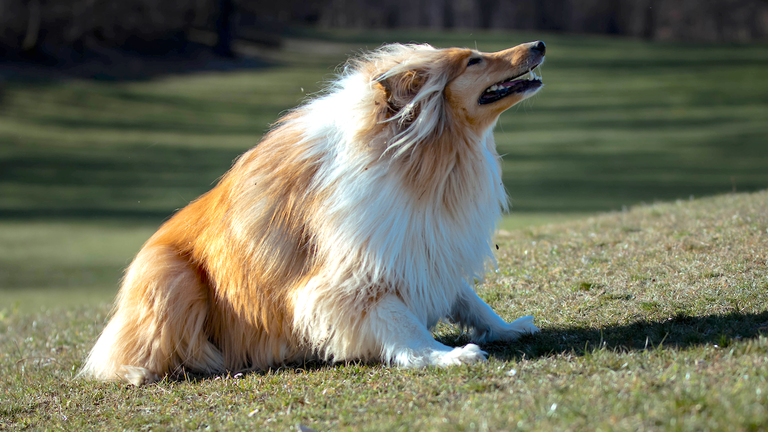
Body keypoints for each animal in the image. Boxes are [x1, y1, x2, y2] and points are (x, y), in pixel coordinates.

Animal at [79, 40, 544, 384]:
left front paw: (507, 327)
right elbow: (401, 323)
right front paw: (446, 355)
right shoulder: (349, 273)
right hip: (169, 275)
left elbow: (468, 299)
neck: (420, 153)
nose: (538, 44)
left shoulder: (422, 244)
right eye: (474, 60)